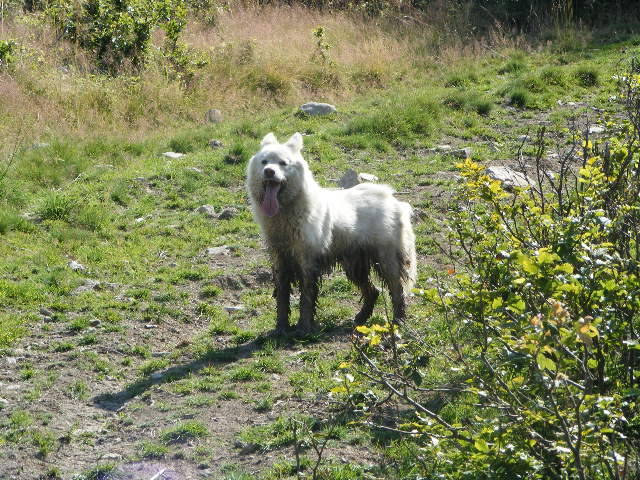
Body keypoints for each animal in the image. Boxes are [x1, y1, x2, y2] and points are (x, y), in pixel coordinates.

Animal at [248, 131, 418, 334]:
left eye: (283, 163)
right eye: (264, 162)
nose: (269, 171)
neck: (286, 212)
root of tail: (394, 200)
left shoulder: (307, 261)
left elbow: (306, 299)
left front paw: (303, 329)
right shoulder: (279, 259)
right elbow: (282, 297)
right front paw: (281, 329)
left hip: (386, 259)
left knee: (397, 291)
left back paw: (398, 321)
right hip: (355, 266)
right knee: (373, 291)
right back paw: (361, 318)